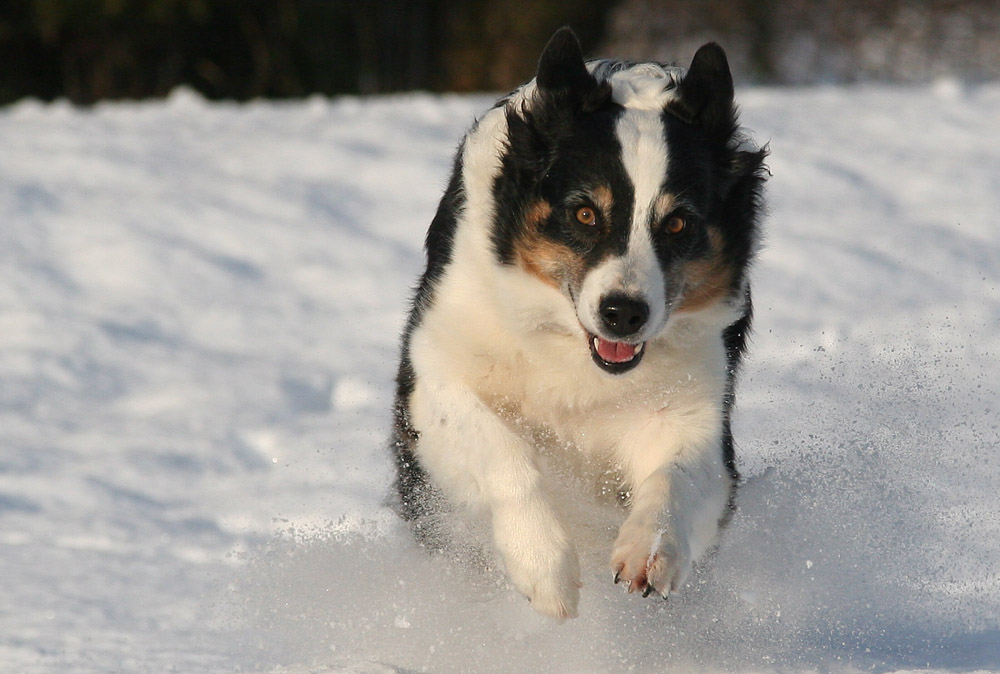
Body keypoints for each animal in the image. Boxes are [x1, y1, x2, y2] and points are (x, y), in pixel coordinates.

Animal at [388, 27, 764, 620]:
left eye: (679, 223)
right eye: (585, 213)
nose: (624, 313)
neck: (567, 344)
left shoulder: (695, 404)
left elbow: (675, 475)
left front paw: (650, 551)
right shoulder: (435, 374)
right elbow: (503, 450)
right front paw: (544, 565)